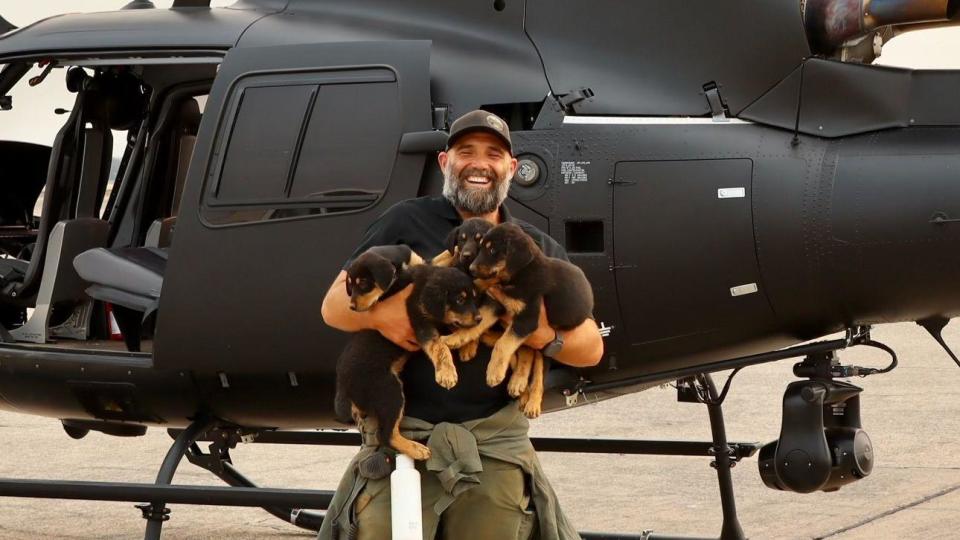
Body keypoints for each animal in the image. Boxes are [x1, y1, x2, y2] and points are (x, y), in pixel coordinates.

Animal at [466, 221, 592, 390]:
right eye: (481, 248)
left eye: (492, 250)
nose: (470, 269)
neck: (522, 273)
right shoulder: (498, 303)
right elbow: (480, 321)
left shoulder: (526, 319)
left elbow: (503, 343)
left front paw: (494, 372)